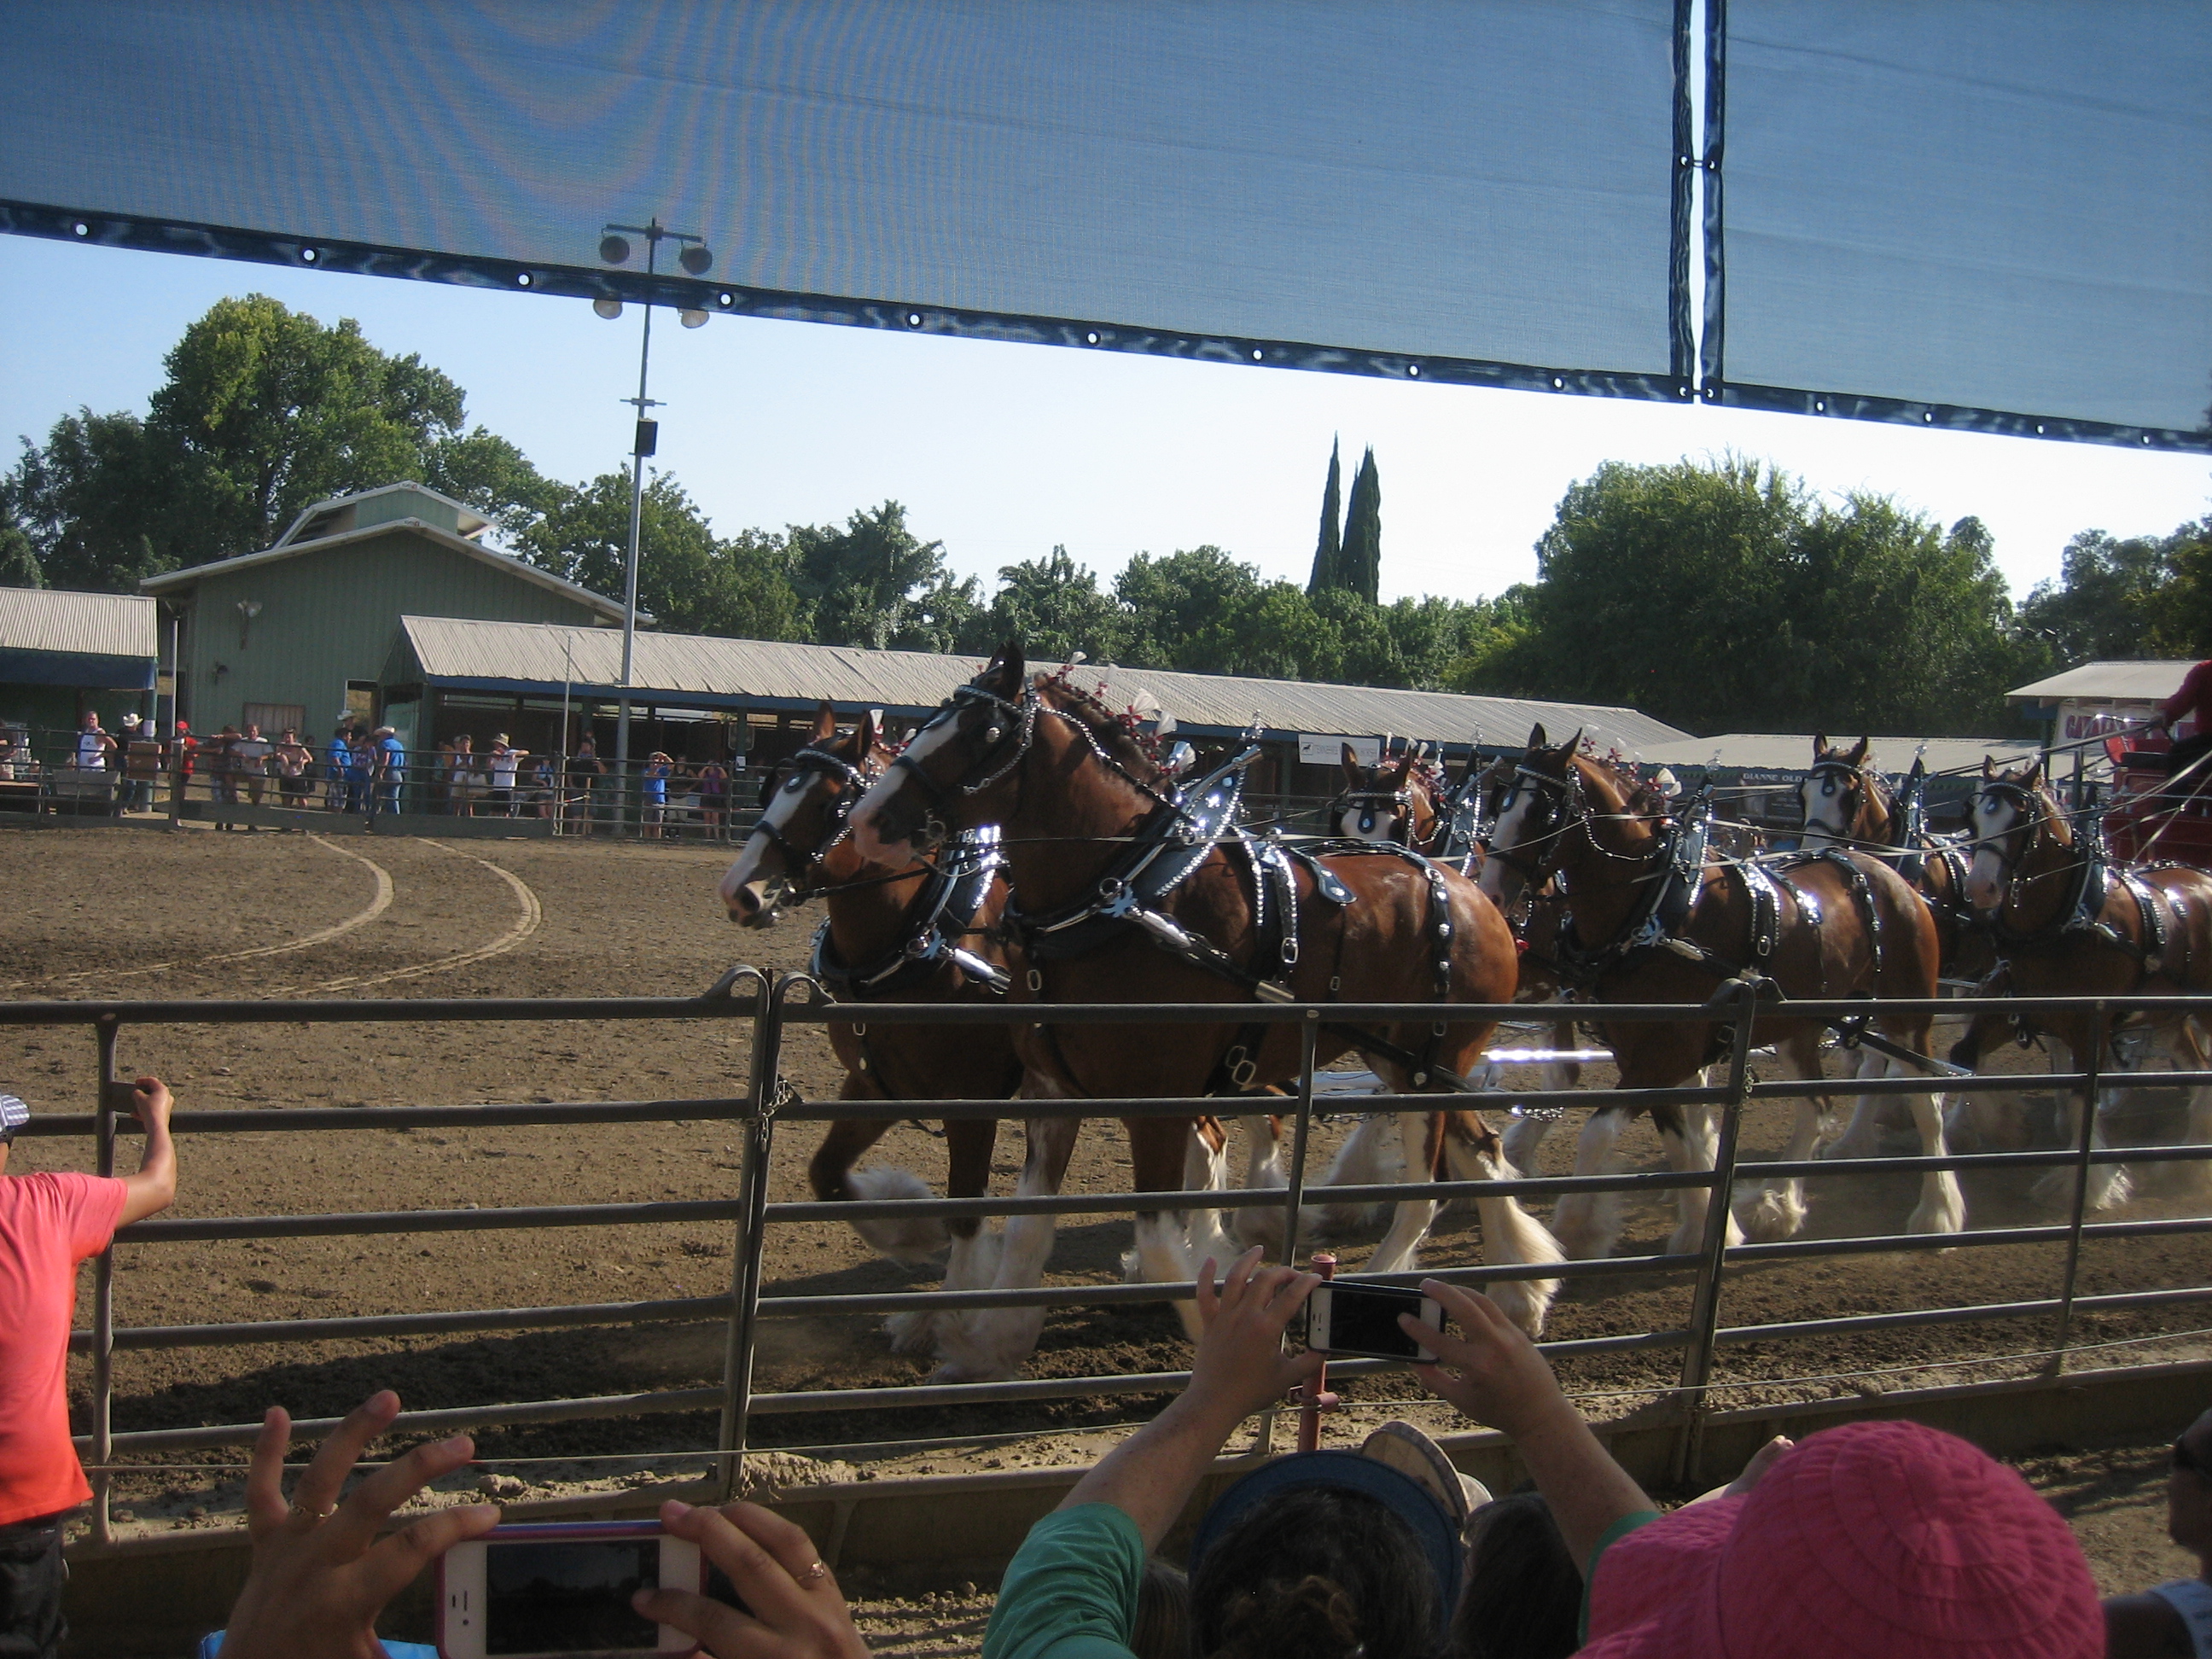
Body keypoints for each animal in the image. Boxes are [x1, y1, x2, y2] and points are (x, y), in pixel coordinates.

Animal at [718, 703, 1031, 1377]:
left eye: (830, 805)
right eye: (773, 786)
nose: (739, 891)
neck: (929, 932)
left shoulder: (974, 1104)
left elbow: (967, 1212)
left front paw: (948, 1328)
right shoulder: (873, 1084)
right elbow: (827, 1175)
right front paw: (912, 1229)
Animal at [845, 644, 1564, 1375]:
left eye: (981, 733)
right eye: (929, 720)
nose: (866, 822)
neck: (1121, 896)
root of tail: (1475, 897)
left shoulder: (1156, 1103)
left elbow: (1162, 1241)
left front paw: (1227, 1340)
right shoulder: (1052, 1094)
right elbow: (1026, 1230)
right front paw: (989, 1346)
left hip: (1424, 1069)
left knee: (1425, 1191)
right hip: (1406, 1061)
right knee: (1481, 1155)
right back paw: (1522, 1289)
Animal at [1481, 726, 1964, 1256]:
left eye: (1541, 812)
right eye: (1501, 801)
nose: (1492, 895)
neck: (1656, 907)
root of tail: (1888, 874)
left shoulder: (1663, 1055)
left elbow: (1599, 1134)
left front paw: (1574, 1230)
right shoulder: (1648, 1055)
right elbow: (1681, 1142)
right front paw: (1705, 1228)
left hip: (1908, 1014)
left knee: (1926, 1101)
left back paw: (1936, 1215)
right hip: (1798, 1027)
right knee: (1816, 1109)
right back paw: (1778, 1206)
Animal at [1961, 759, 2212, 1207]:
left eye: (2021, 819)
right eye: (1975, 818)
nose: (1979, 888)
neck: (2061, 921)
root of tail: (2205, 877)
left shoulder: (2088, 1028)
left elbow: (2083, 1098)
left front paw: (2090, 1187)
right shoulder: (2008, 1012)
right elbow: (1964, 1059)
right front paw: (2006, 1126)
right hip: (2169, 1014)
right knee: (2198, 1070)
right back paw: (2188, 1166)